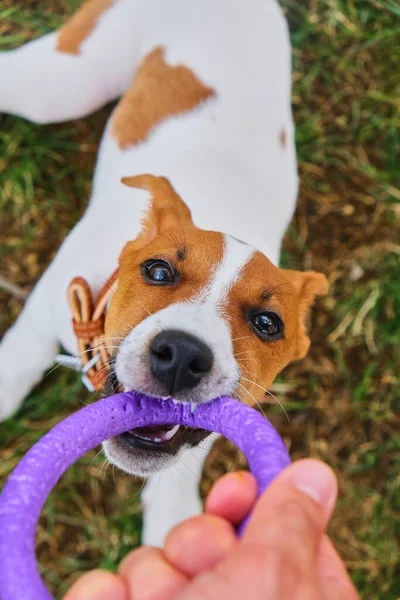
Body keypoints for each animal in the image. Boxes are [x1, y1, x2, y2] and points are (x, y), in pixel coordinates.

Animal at [0, 0, 328, 548]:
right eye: (157, 271)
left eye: (268, 324)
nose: (182, 356)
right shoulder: (50, 301)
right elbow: (20, 355)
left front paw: (176, 522)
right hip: (64, 83)